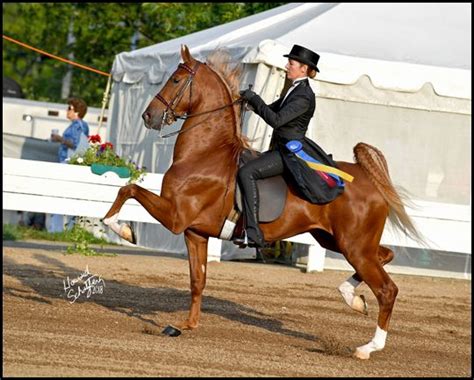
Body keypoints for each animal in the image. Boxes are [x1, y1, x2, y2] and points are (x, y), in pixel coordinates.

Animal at [103, 45, 422, 360]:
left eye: (176, 80)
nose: (148, 116)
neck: (205, 155)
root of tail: (367, 179)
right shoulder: (195, 233)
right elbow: (197, 280)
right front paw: (186, 325)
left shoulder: (175, 217)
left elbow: (128, 190)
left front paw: (122, 229)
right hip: (337, 240)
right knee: (385, 256)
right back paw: (353, 299)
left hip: (354, 246)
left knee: (387, 289)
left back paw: (368, 347)